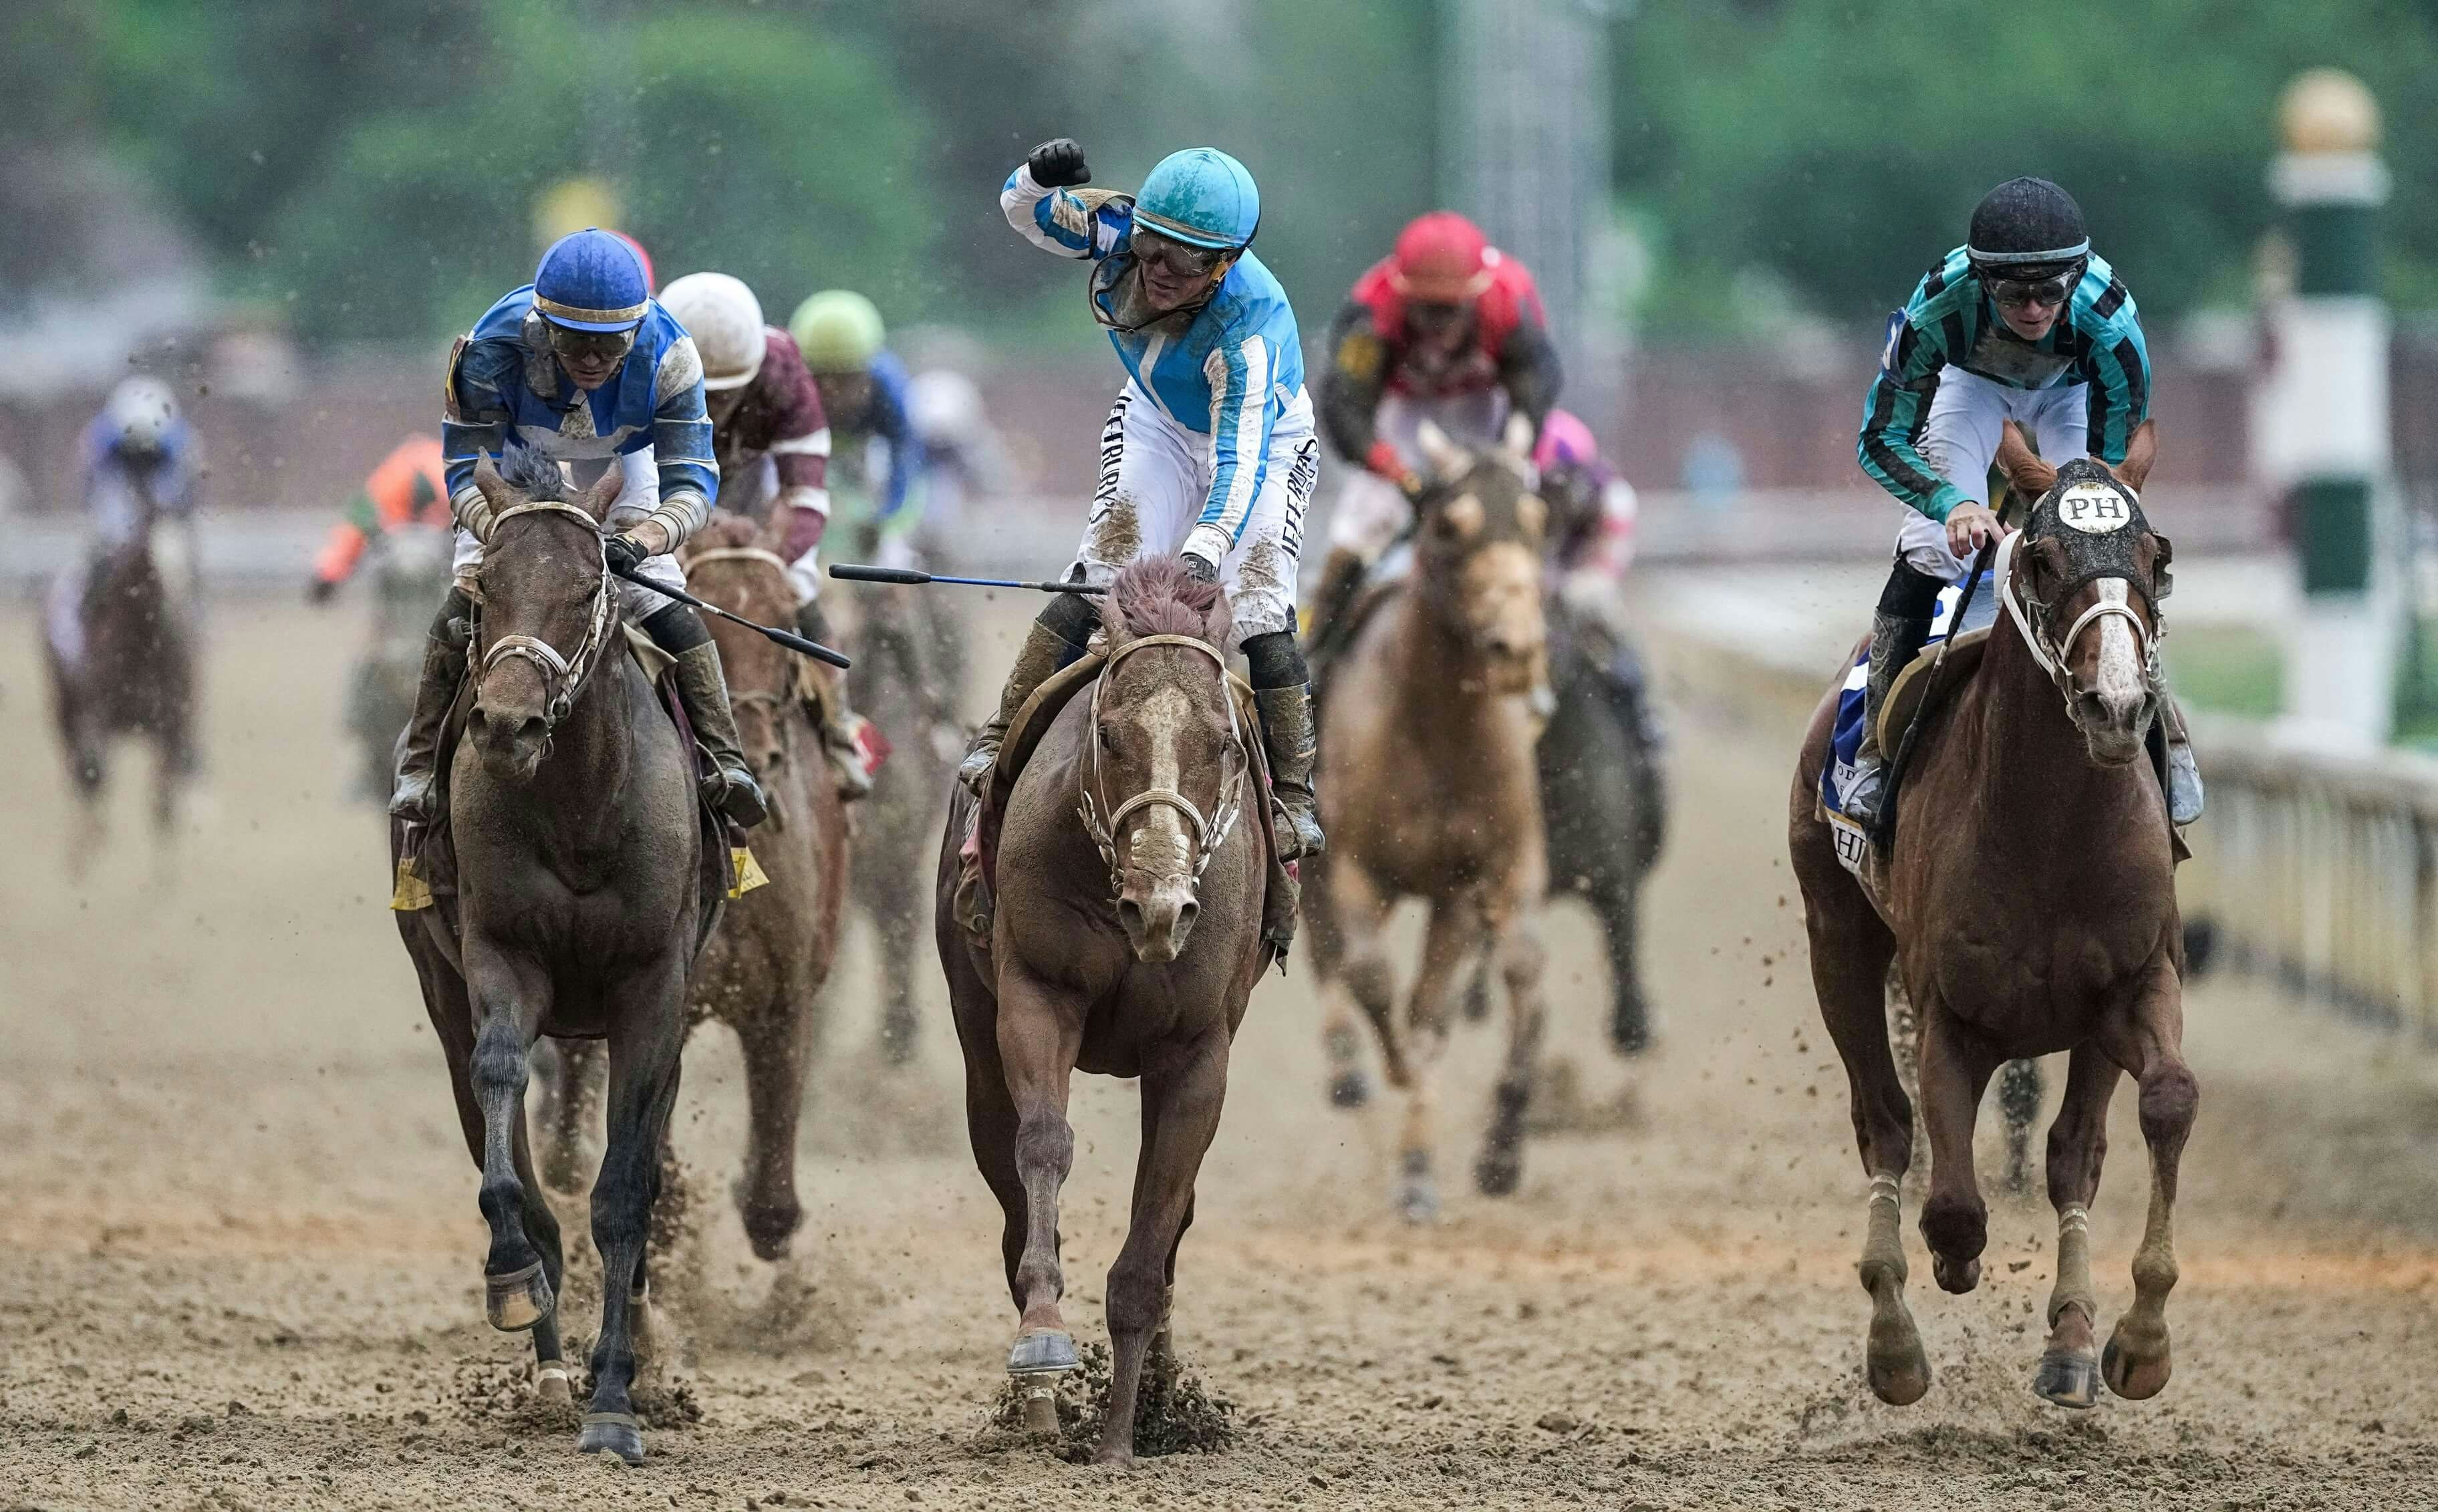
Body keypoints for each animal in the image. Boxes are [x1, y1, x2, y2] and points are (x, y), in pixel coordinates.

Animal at [1784, 453, 2203, 1414]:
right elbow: (1951, 1200)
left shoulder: (2134, 981)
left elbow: (2162, 1102)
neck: (2050, 826)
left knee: (2073, 1150)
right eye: (2043, 558)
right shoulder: (1950, 1011)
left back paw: (2072, 1340)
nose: (2116, 704)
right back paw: (1895, 1340)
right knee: (1885, 1121)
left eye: (2157, 554)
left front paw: (2137, 1340)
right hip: (1837, 939)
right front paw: (1951, 1266)